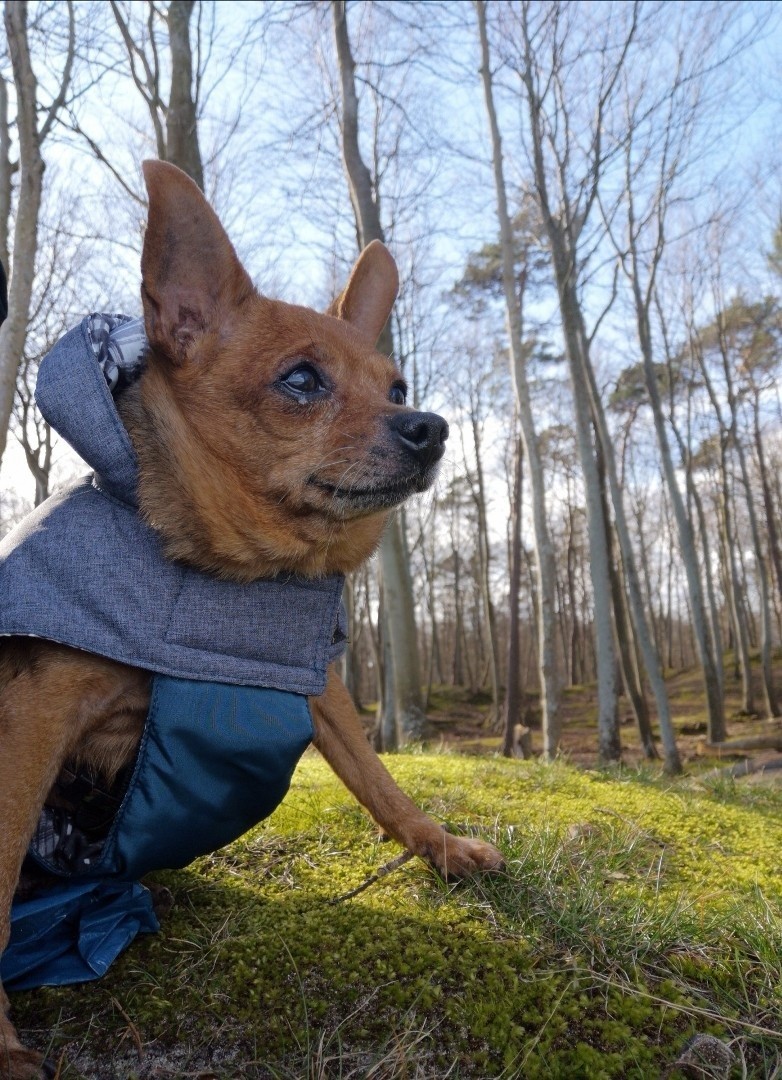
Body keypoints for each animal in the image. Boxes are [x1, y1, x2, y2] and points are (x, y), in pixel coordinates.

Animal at [0, 159, 501, 1080]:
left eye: (397, 387)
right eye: (302, 380)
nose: (431, 427)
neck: (237, 581)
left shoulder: (312, 685)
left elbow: (380, 780)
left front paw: (439, 844)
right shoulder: (32, 722)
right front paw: (3, 1041)